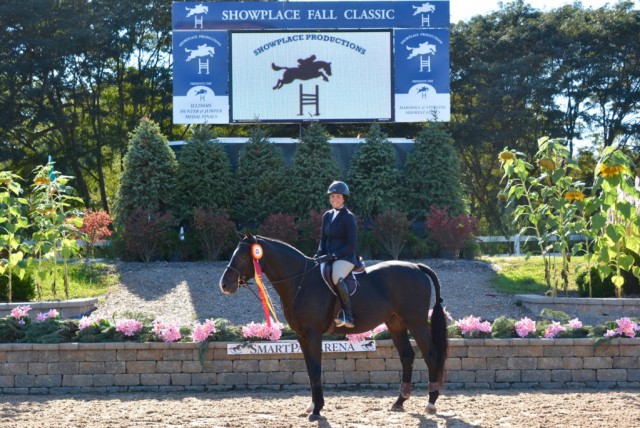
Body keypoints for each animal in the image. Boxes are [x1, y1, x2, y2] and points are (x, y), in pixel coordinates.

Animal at [218, 232, 448, 420]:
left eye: (243, 256)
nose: (224, 285)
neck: (300, 282)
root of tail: (416, 267)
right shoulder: (302, 335)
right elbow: (310, 370)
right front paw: (312, 406)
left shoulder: (313, 334)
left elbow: (316, 368)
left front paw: (317, 409)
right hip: (396, 323)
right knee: (407, 355)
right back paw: (399, 401)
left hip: (415, 322)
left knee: (431, 355)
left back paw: (431, 402)